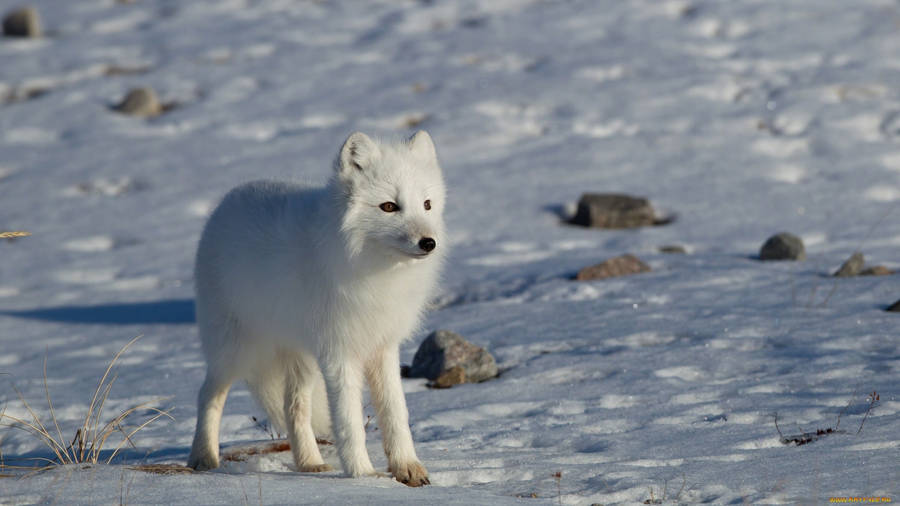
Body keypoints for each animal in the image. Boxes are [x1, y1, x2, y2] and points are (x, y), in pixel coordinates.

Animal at [187, 131, 445, 487]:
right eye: (389, 207)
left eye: (427, 204)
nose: (428, 243)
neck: (374, 269)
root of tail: (225, 203)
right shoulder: (339, 352)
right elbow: (349, 422)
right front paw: (363, 475)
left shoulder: (382, 346)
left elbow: (396, 413)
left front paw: (408, 468)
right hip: (237, 350)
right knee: (207, 395)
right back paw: (203, 458)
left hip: (301, 357)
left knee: (293, 407)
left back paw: (309, 462)